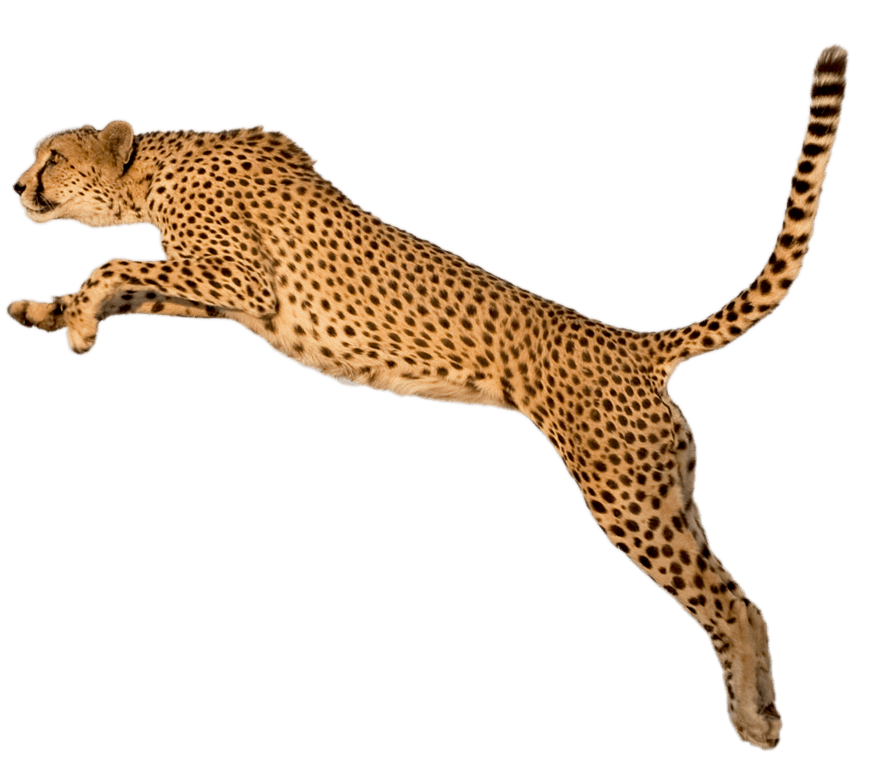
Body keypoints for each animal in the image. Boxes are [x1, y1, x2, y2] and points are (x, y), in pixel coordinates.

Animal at [7, 44, 849, 751]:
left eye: (53, 155)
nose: (17, 184)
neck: (153, 167)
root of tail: (632, 342)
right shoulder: (224, 299)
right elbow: (124, 285)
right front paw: (48, 314)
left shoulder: (240, 281)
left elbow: (111, 265)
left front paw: (76, 325)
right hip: (665, 490)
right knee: (731, 593)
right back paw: (758, 707)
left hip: (626, 497)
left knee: (731, 602)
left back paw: (757, 722)